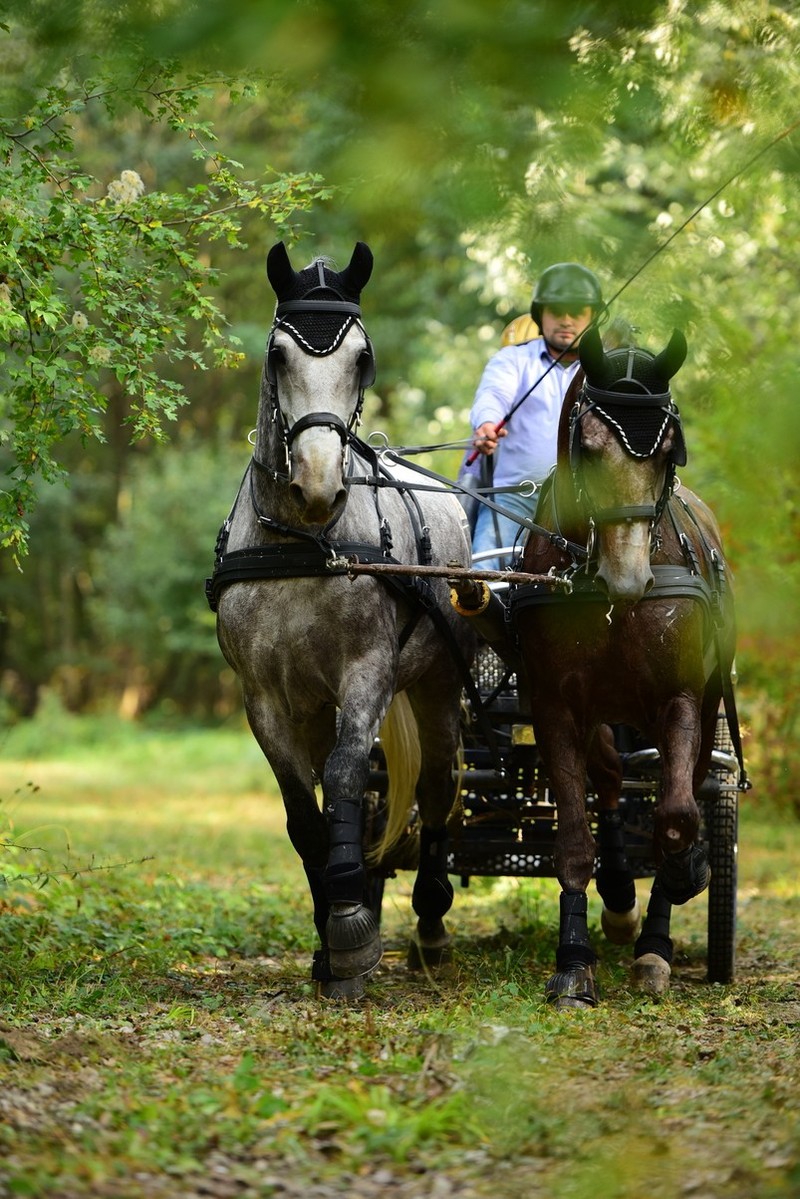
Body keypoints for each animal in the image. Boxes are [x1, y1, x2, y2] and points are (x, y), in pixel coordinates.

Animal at [207, 242, 475, 999]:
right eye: (277, 355)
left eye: (362, 357)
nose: (320, 484)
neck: (304, 543)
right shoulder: (265, 699)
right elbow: (307, 814)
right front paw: (331, 937)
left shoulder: (366, 674)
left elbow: (349, 774)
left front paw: (352, 929)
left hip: (437, 682)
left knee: (439, 787)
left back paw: (430, 923)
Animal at [509, 326, 737, 1007]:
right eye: (587, 448)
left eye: (667, 451)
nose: (630, 579)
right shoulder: (555, 705)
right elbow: (573, 840)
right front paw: (573, 963)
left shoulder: (680, 698)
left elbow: (676, 817)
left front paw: (680, 888)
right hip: (600, 713)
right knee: (609, 779)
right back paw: (616, 896)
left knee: (680, 787)